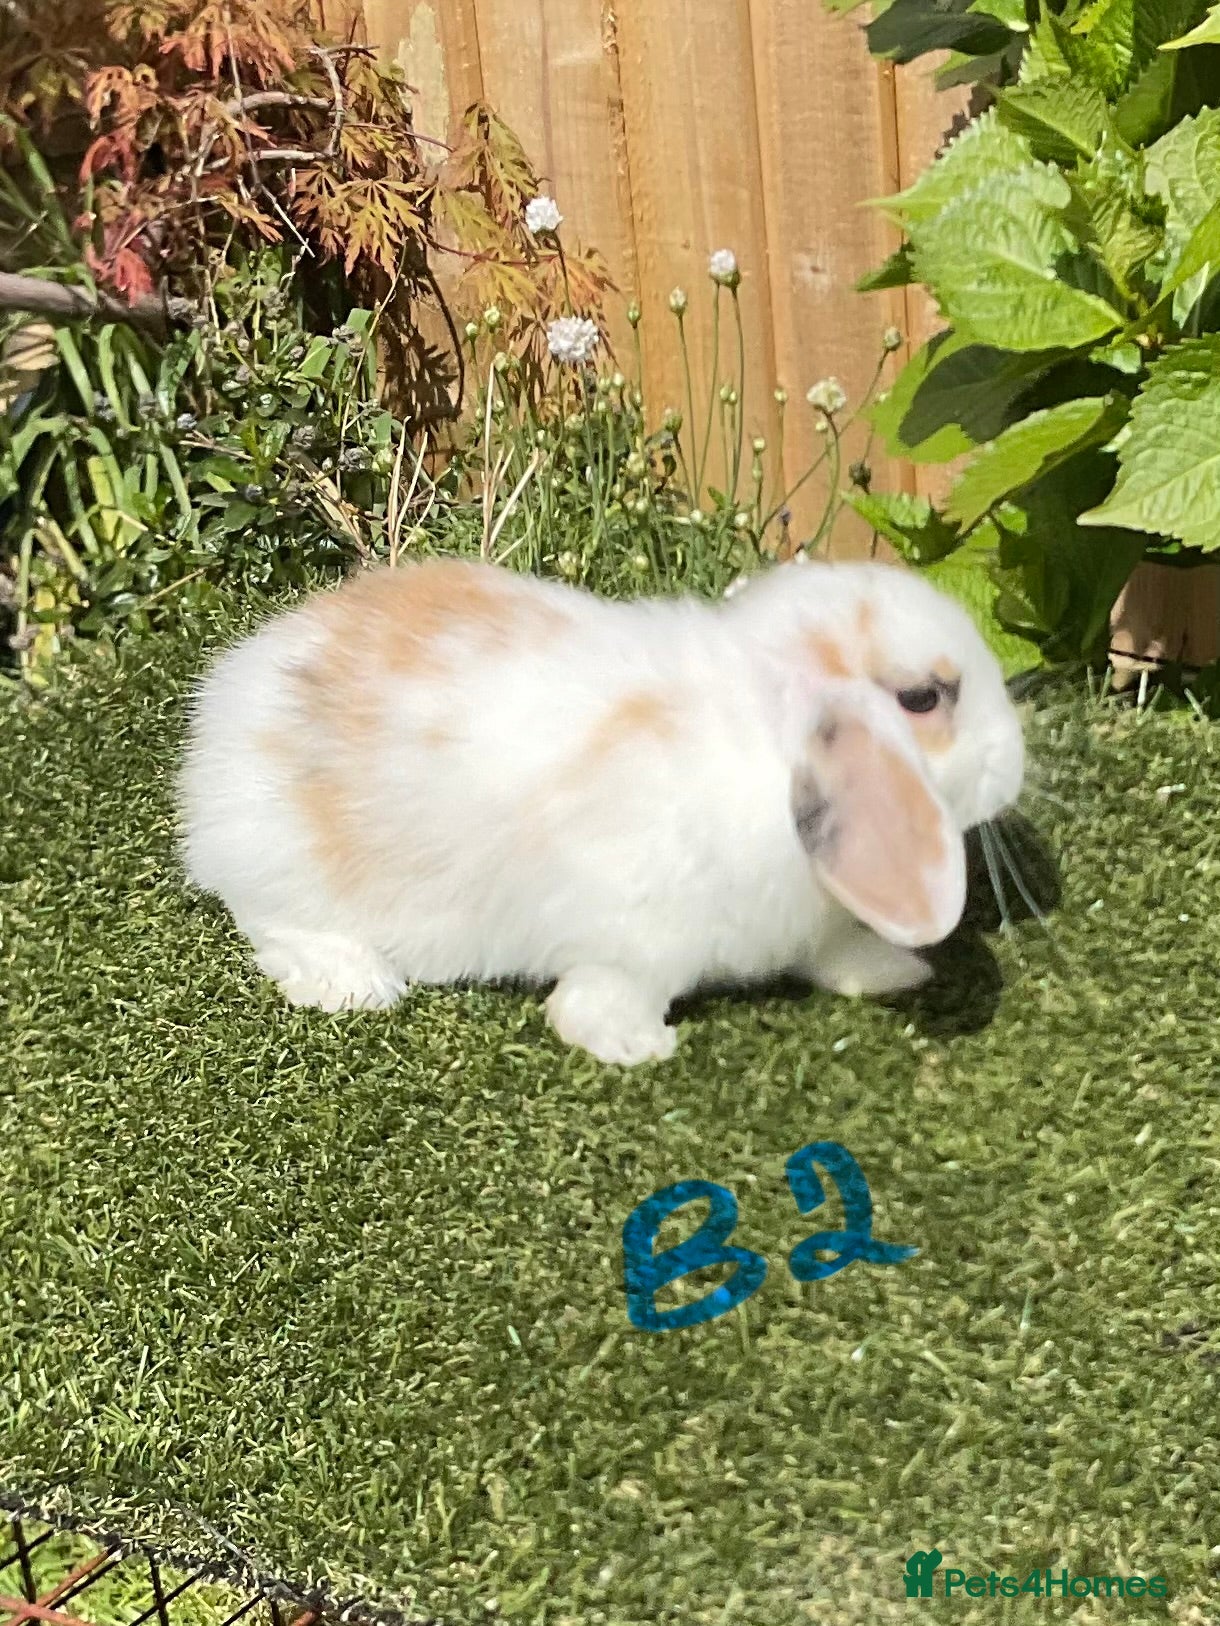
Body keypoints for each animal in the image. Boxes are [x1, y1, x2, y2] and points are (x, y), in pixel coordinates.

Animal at [178, 553, 1025, 1066]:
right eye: (924, 698)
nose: (1013, 764)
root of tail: (228, 700)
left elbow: (835, 952)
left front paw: (895, 969)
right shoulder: (633, 943)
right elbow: (597, 1001)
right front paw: (639, 1045)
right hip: (290, 868)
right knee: (270, 922)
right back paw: (352, 983)